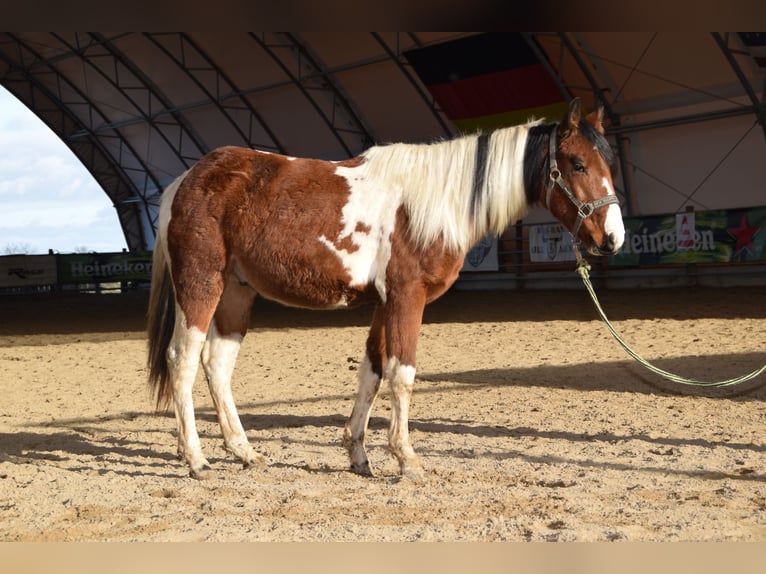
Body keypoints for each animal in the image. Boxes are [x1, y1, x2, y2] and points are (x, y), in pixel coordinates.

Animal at [146, 97, 625, 480]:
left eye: (608, 165)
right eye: (578, 164)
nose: (613, 239)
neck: (430, 202)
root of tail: (186, 181)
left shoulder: (383, 303)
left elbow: (372, 373)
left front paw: (359, 455)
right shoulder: (406, 298)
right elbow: (402, 375)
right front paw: (406, 457)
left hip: (236, 294)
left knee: (217, 365)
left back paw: (244, 452)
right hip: (201, 284)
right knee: (182, 360)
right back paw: (196, 459)